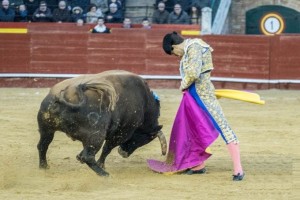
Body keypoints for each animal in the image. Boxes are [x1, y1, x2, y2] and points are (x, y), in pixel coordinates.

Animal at [36, 69, 168, 176]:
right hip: (96, 135)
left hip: (46, 129)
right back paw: (104, 174)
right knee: (88, 156)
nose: (123, 153)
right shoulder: (122, 133)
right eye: (147, 138)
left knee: (43, 145)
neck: (145, 103)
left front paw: (80, 158)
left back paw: (44, 166)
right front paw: (101, 164)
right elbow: (107, 148)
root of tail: (67, 94)